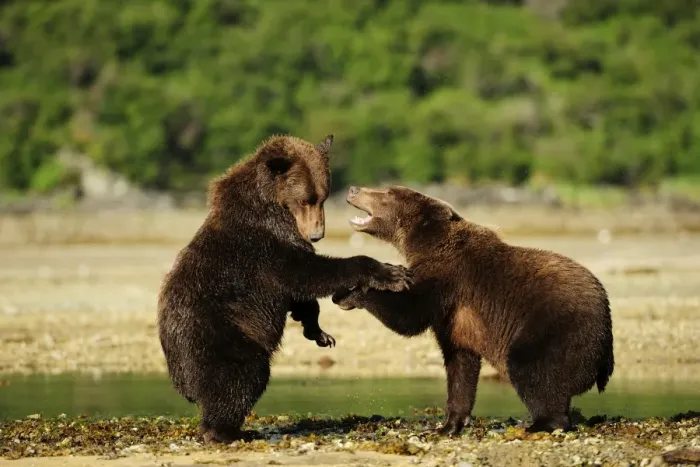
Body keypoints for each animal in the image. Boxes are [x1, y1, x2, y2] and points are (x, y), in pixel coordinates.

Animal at [157, 136, 412, 443]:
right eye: (306, 199)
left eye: (322, 197)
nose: (317, 234)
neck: (272, 206)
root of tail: (179, 377)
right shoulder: (266, 247)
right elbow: (306, 274)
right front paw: (392, 273)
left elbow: (301, 295)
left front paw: (319, 332)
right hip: (219, 335)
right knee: (241, 377)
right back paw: (227, 431)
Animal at [332, 185, 614, 435]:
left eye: (388, 192)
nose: (354, 189)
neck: (424, 242)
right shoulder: (453, 315)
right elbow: (460, 363)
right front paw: (448, 425)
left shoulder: (447, 278)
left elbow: (408, 315)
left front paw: (350, 293)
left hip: (554, 327)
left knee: (531, 368)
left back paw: (541, 423)